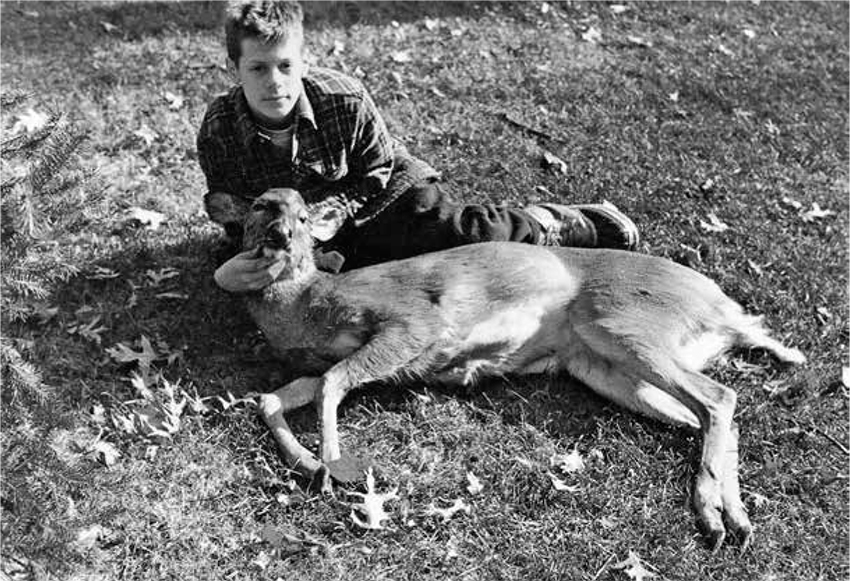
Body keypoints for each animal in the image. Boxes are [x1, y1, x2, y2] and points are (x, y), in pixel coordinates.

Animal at [206, 187, 806, 552]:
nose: (281, 235)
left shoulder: (411, 322)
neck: (308, 305)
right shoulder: (340, 356)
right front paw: (308, 462)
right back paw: (735, 520)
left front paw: (331, 462)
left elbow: (329, 385)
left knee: (720, 397)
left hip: (623, 324)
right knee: (709, 414)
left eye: (303, 216)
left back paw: (711, 513)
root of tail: (725, 309)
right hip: (606, 368)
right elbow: (274, 396)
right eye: (261, 206)